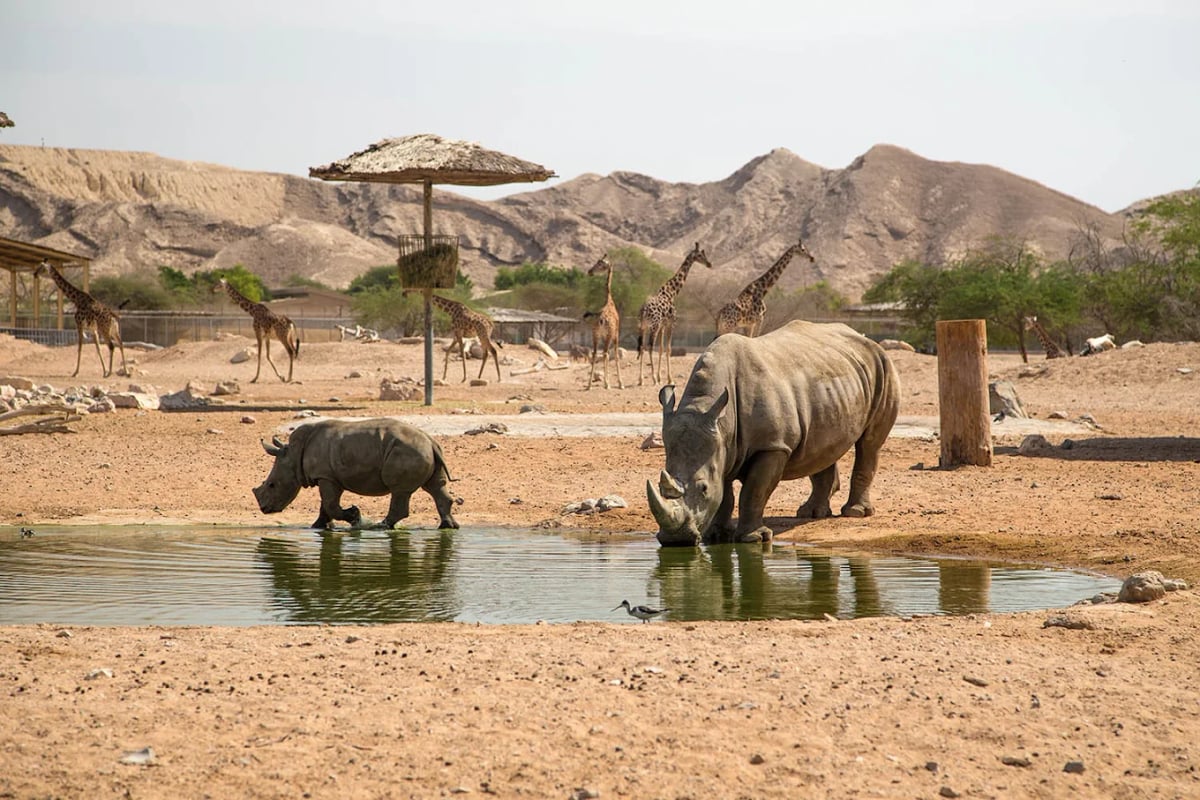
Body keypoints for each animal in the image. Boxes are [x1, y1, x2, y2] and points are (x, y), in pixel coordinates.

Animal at [253, 418, 460, 530]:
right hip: (422, 450)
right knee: (434, 487)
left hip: (408, 451)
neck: (293, 456)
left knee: (400, 491)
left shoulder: (326, 476)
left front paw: (355, 517)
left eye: (271, 485)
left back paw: (381, 526)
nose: (264, 509)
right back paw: (448, 526)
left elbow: (331, 505)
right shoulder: (328, 476)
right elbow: (326, 506)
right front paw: (318, 527)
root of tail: (430, 441)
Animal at [584, 254, 624, 390]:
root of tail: (601, 320)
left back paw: (589, 385)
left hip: (595, 335)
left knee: (595, 353)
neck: (609, 301)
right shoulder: (616, 334)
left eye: (601, 264)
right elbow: (615, 355)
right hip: (608, 335)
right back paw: (607, 384)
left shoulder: (602, 336)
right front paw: (619, 383)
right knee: (606, 353)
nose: (590, 271)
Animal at [636, 242, 713, 386]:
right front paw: (668, 378)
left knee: (642, 347)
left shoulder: (663, 325)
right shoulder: (671, 323)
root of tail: (644, 310)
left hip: (643, 326)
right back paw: (652, 378)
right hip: (653, 326)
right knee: (649, 346)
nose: (709, 264)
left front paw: (660, 377)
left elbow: (661, 348)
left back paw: (641, 380)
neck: (672, 292)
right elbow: (668, 349)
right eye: (700, 255)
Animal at [647, 320, 900, 546]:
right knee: (823, 445)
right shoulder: (722, 447)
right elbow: (725, 495)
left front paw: (755, 538)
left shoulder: (772, 446)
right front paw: (716, 536)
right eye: (659, 487)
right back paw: (810, 514)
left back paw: (855, 513)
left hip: (883, 366)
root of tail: (865, 338)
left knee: (869, 444)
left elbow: (754, 491)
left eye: (703, 489)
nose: (675, 540)